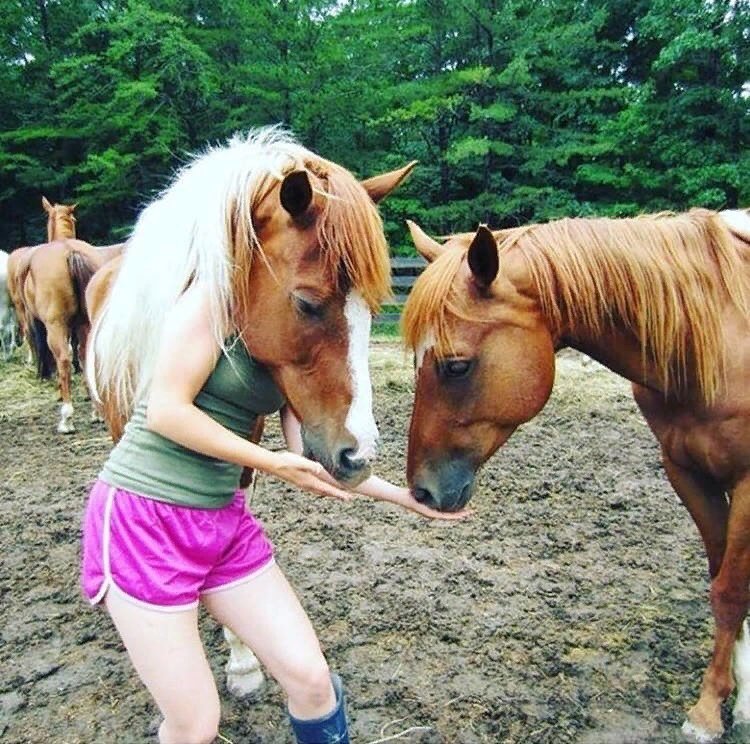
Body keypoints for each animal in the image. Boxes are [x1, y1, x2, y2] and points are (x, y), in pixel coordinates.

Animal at [406, 208, 750, 744]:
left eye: (456, 366)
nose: (421, 489)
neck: (717, 338)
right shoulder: (688, 473)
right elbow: (722, 578)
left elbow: (732, 592)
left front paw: (710, 710)